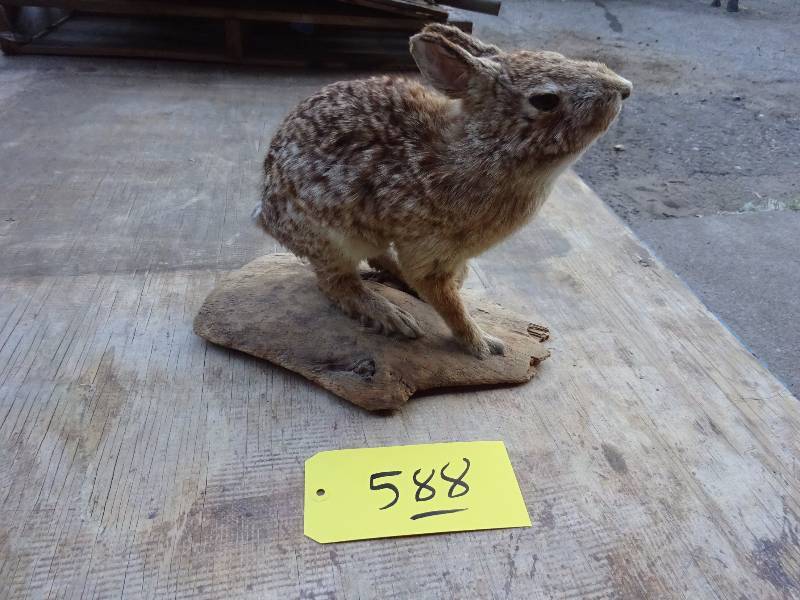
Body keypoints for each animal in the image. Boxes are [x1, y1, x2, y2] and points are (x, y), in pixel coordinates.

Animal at [255, 23, 631, 358]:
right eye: (545, 99)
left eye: (557, 56)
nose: (623, 88)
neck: (485, 149)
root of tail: (265, 215)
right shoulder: (429, 249)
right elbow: (448, 303)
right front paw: (483, 344)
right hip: (331, 237)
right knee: (336, 282)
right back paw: (390, 315)